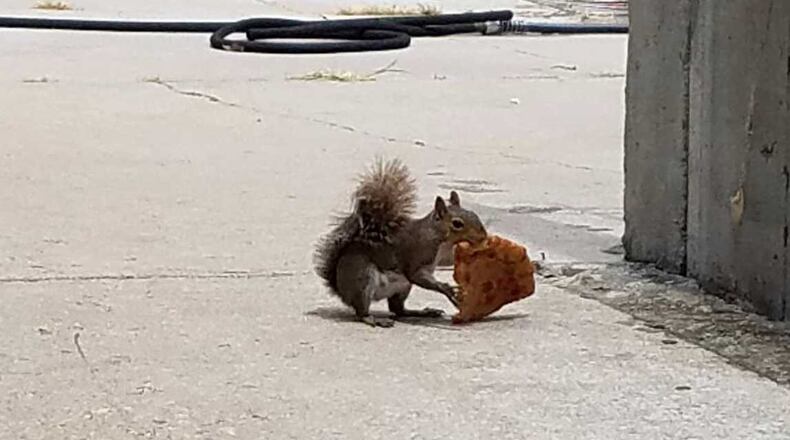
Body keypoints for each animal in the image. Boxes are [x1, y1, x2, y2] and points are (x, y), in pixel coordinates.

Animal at [313, 158, 488, 327]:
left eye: (473, 213)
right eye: (457, 223)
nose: (483, 236)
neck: (439, 238)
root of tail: (340, 290)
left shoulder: (444, 256)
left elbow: (448, 262)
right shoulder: (417, 253)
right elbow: (416, 275)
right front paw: (446, 288)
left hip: (403, 288)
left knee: (398, 309)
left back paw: (422, 312)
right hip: (362, 279)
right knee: (362, 311)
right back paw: (374, 319)